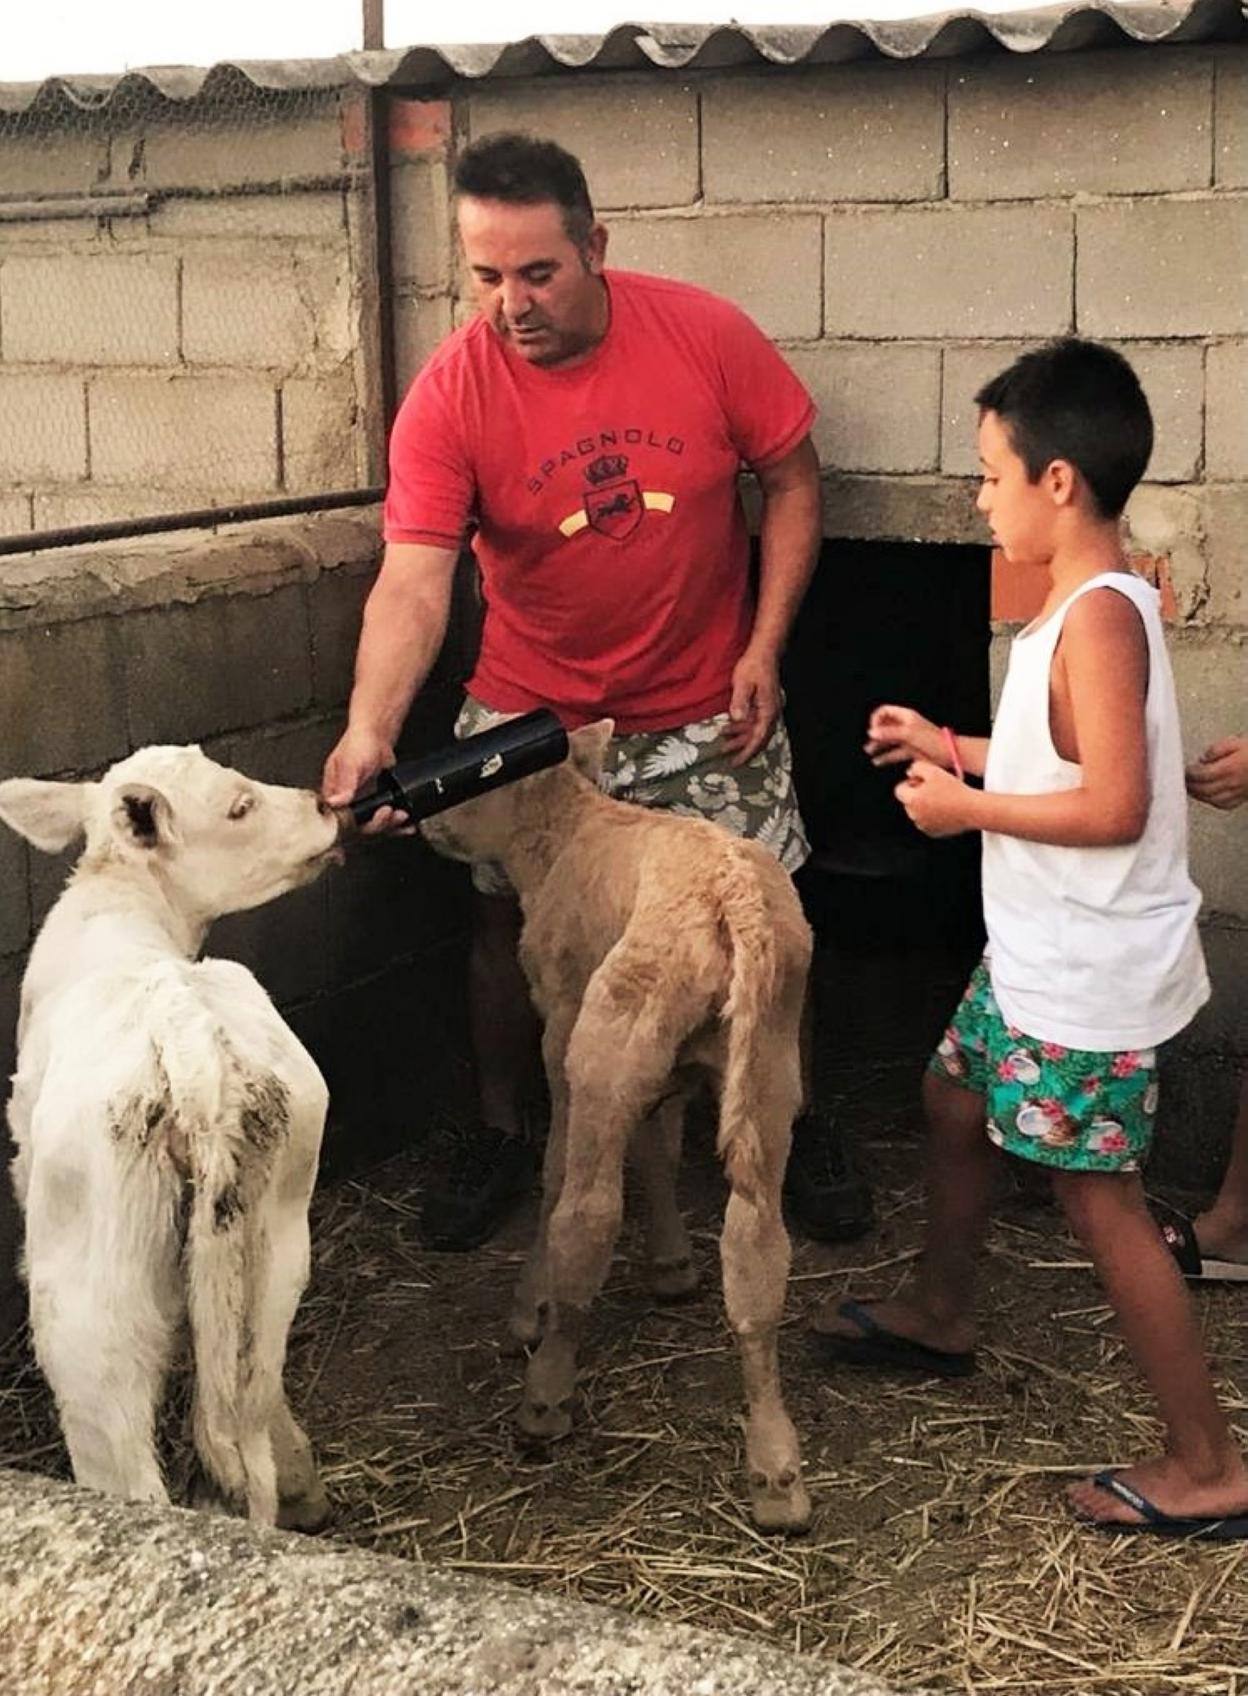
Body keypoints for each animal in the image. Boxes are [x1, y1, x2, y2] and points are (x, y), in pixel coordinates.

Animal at [0, 742, 340, 1526]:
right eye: (239, 806)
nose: (323, 803)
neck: (123, 907)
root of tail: (191, 1045)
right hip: (273, 1251)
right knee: (246, 1427)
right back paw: (297, 1495)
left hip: (91, 1303)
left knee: (126, 1470)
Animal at [423, 722, 813, 1533]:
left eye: (467, 769)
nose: (423, 825)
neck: (562, 834)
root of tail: (733, 903)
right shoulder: (671, 1072)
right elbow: (658, 1150)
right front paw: (671, 1266)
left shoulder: (560, 1023)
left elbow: (556, 1172)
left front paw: (531, 1307)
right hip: (765, 1063)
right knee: (756, 1242)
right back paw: (775, 1470)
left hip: (609, 1033)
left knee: (589, 1212)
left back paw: (545, 1393)